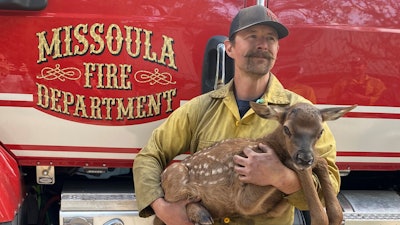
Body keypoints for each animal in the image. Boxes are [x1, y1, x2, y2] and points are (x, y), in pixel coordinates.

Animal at [154, 102, 356, 225]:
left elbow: (321, 161)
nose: (305, 158)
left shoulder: (273, 208)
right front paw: (322, 217)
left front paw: (335, 215)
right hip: (175, 173)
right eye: (287, 128)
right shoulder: (243, 199)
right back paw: (201, 215)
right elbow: (292, 164)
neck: (267, 143)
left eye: (321, 131)